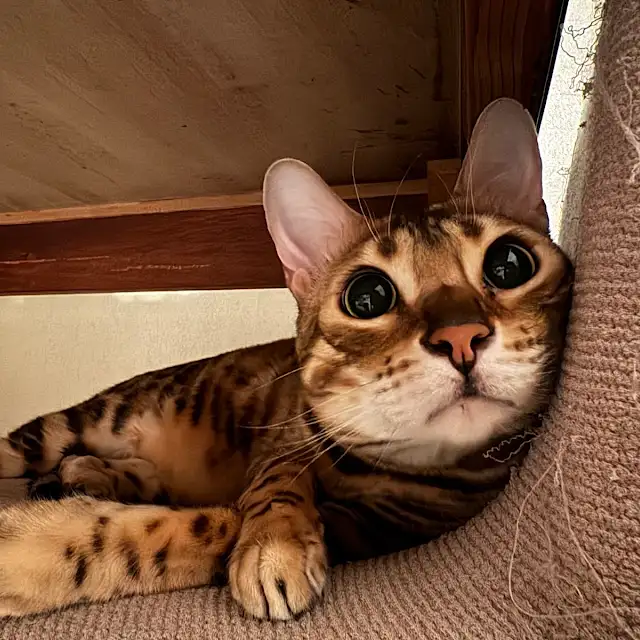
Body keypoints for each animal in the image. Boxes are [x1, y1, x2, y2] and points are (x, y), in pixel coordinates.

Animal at [0, 98, 572, 621]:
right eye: (368, 297)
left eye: (509, 264)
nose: (461, 336)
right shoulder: (284, 441)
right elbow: (274, 479)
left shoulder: (377, 527)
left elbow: (195, 523)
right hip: (71, 425)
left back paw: (87, 474)